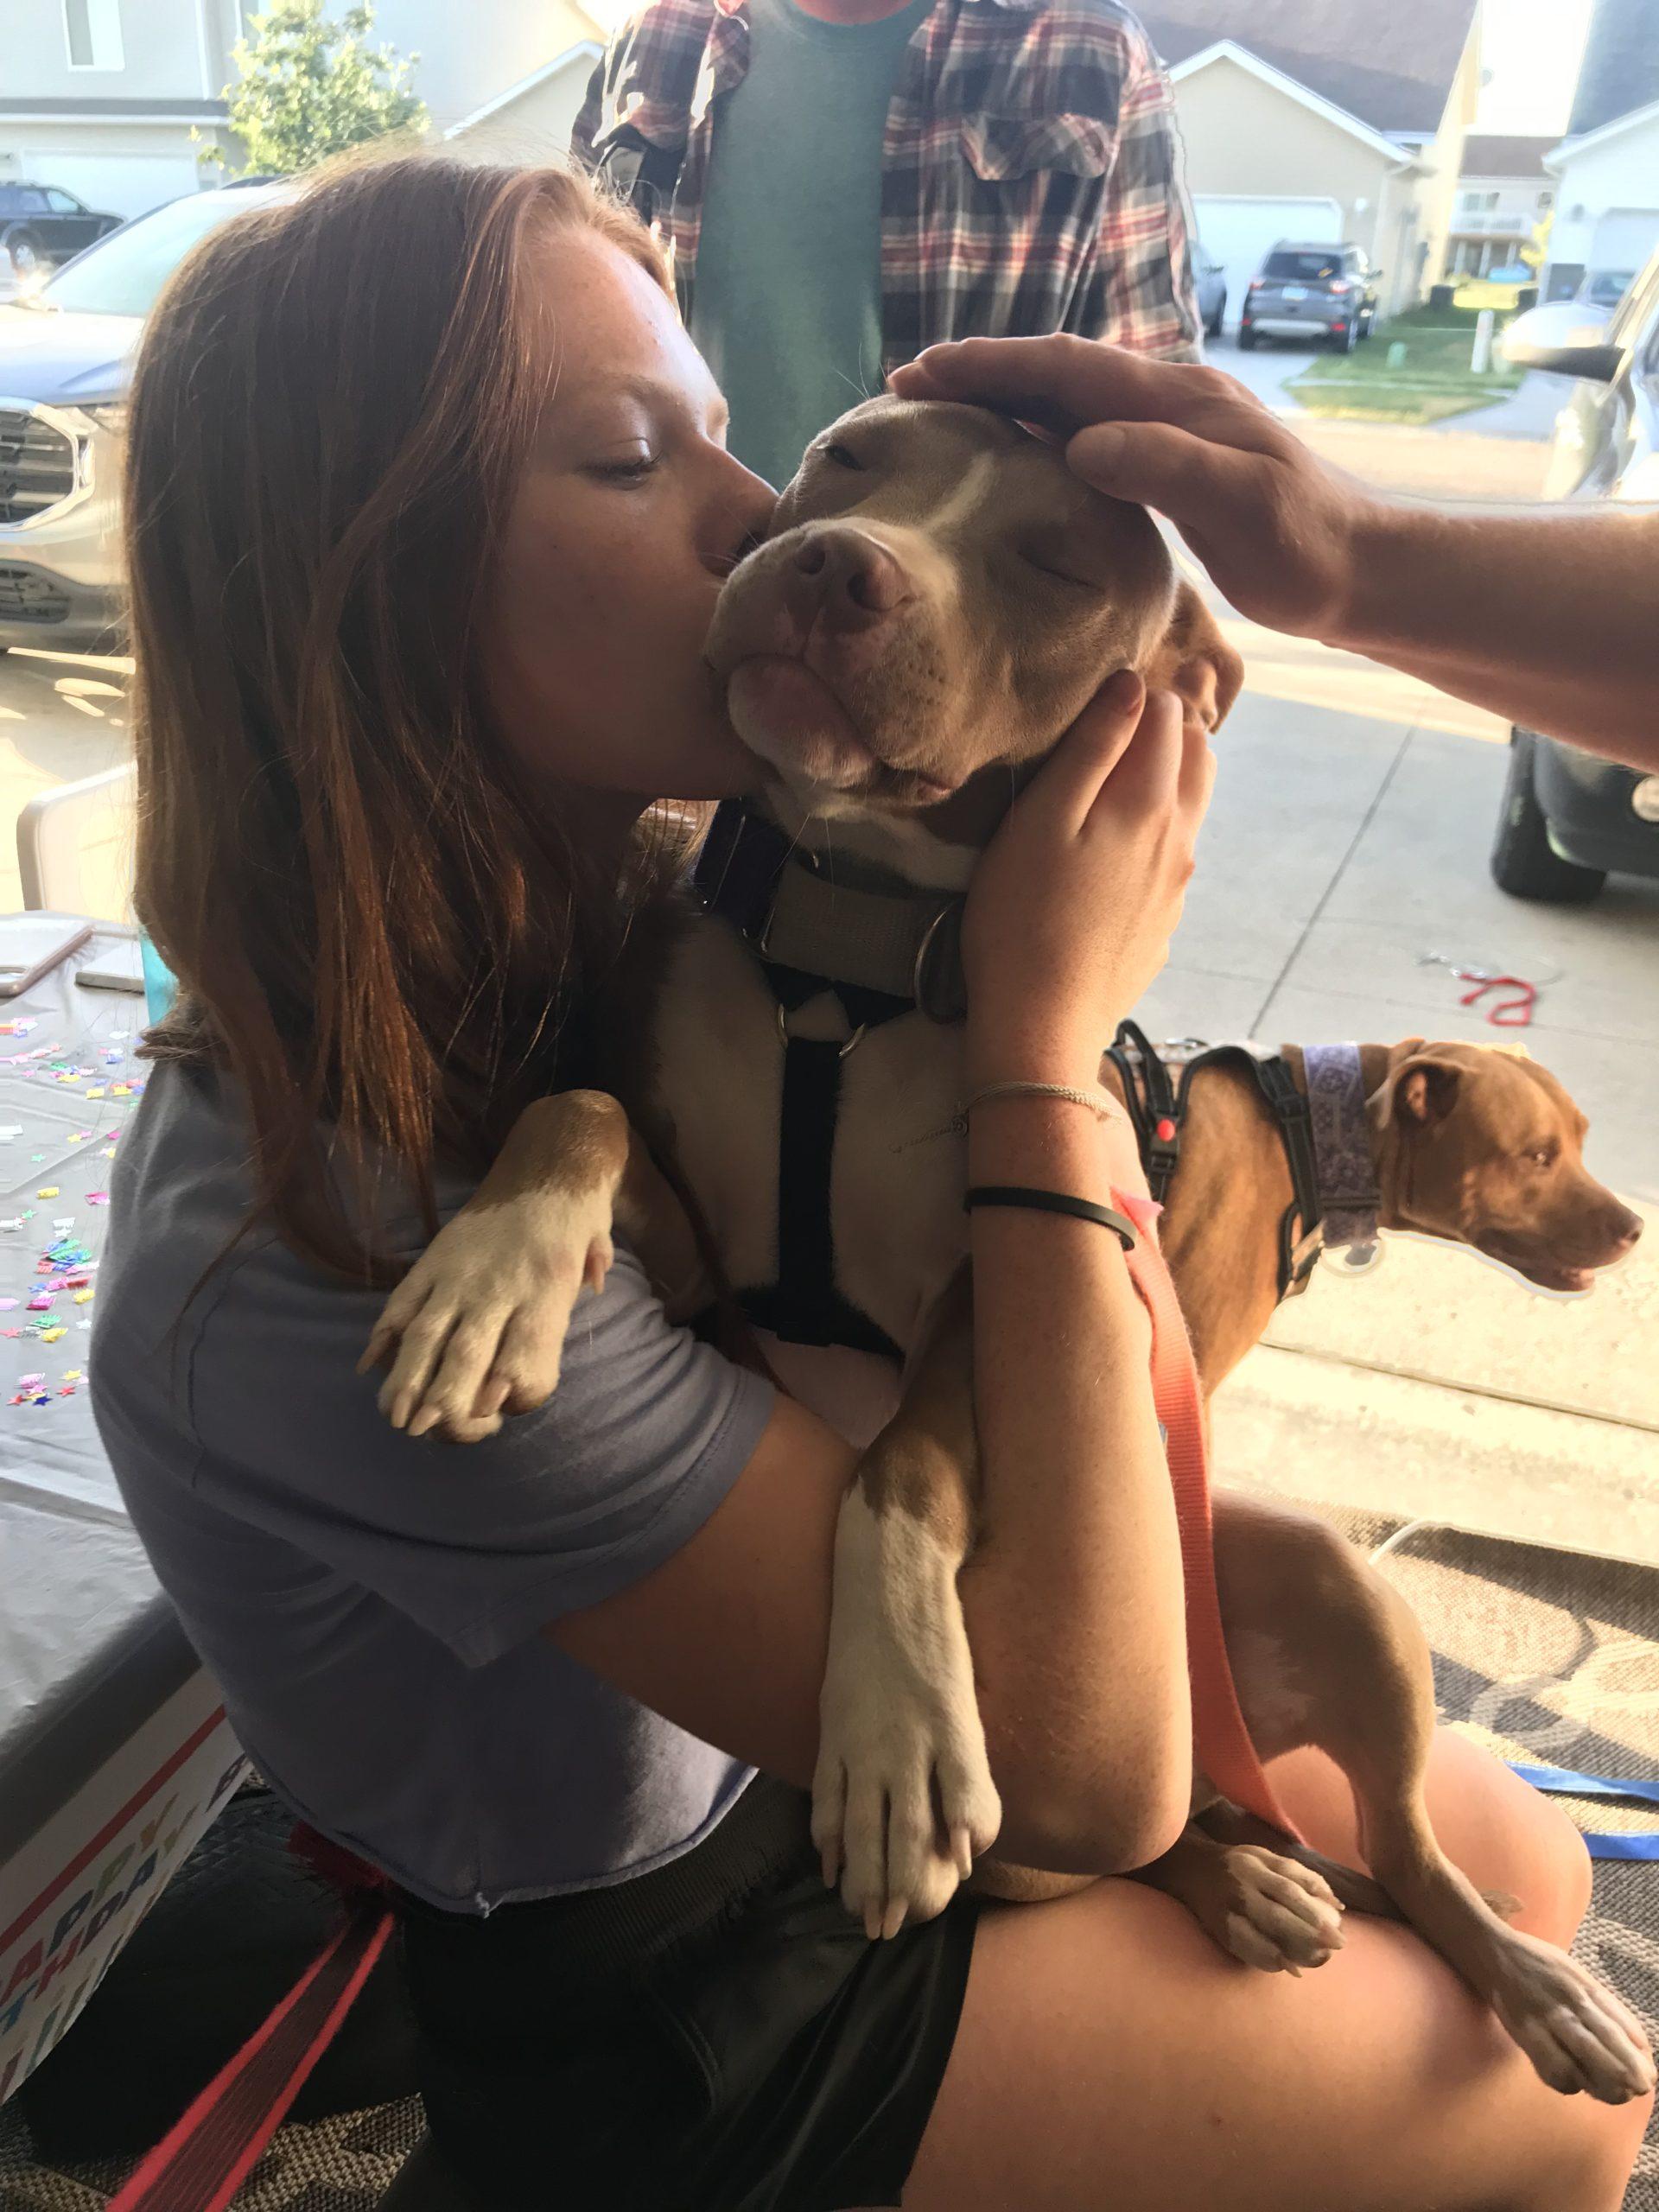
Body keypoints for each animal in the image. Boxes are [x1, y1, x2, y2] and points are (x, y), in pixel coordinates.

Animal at [366, 397, 1659, 2106]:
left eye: (1055, 563)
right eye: (850, 455)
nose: (838, 566)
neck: (842, 966)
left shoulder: (983, 1304)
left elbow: (903, 1464)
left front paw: (903, 1721)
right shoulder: (703, 1272)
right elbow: (579, 1103)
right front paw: (489, 1279)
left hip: (1346, 1605)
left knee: (1410, 1856)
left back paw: (1529, 1983)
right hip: (1114, 1800)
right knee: (1161, 1835)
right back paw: (1245, 1880)